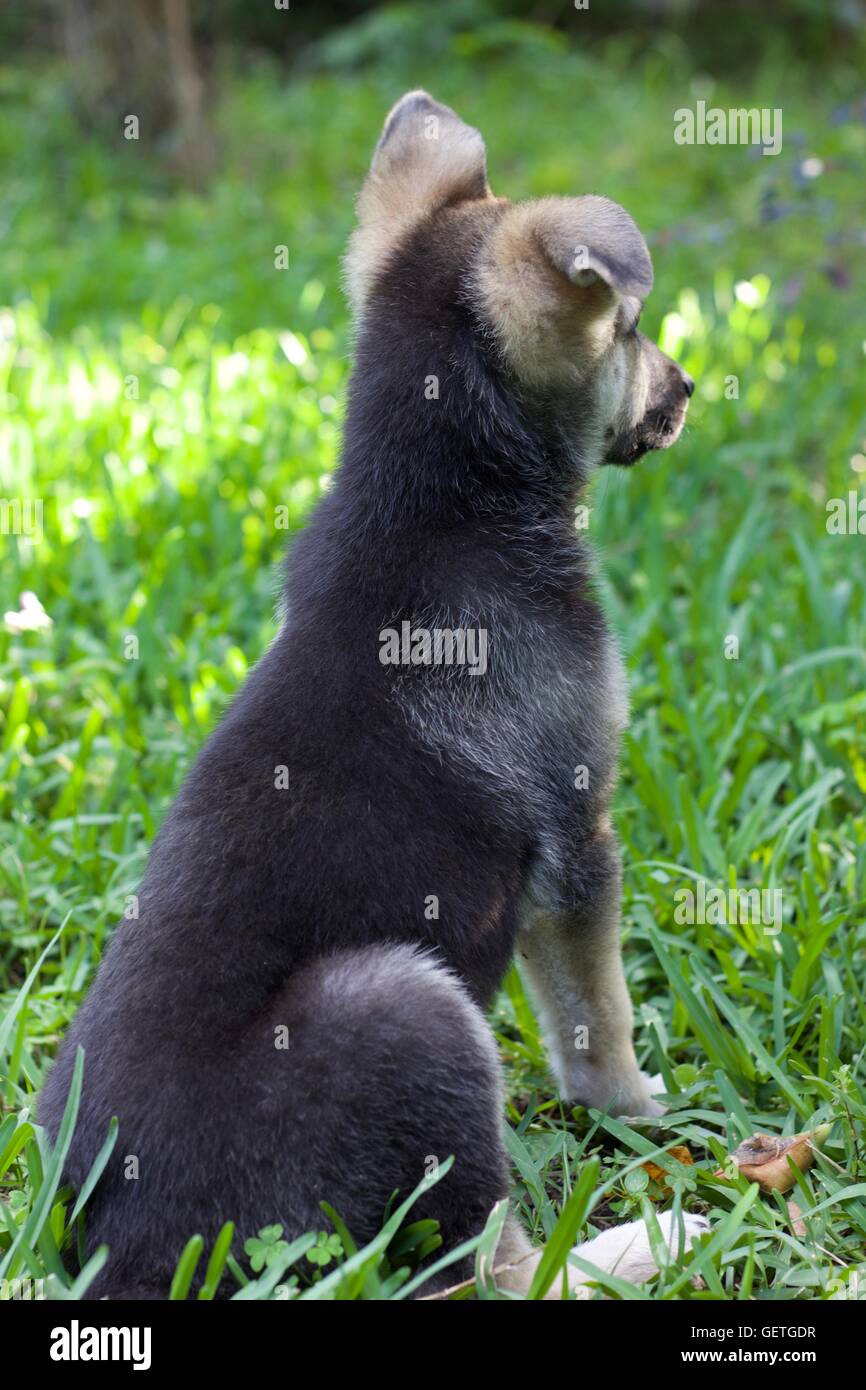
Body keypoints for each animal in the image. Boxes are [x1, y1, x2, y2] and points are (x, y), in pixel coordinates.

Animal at [38, 92, 706, 1295]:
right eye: (628, 332)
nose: (684, 393)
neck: (435, 500)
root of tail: (122, 1257)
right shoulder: (578, 833)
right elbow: (597, 1018)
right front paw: (640, 1114)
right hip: (409, 1009)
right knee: (488, 1271)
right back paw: (648, 1241)